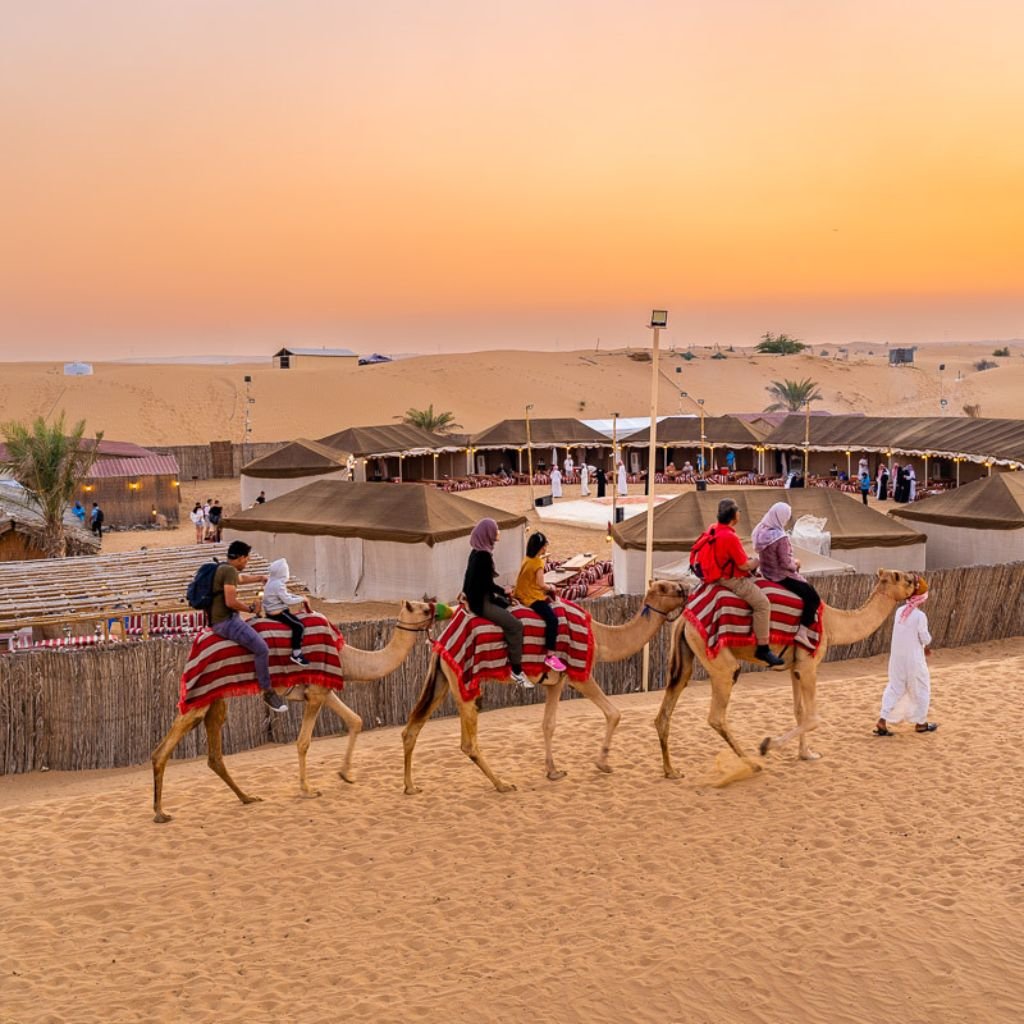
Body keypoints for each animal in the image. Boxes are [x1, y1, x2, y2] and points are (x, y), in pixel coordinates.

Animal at [152, 598, 436, 823]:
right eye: (423, 609)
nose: (436, 607)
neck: (347, 656)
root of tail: (195, 647)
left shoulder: (323, 689)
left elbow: (356, 720)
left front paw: (345, 774)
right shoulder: (317, 694)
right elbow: (303, 742)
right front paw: (308, 789)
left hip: (216, 698)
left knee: (214, 753)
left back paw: (247, 797)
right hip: (200, 695)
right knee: (164, 749)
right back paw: (160, 813)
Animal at [401, 581, 688, 794]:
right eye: (667, 587)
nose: (685, 588)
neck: (600, 637)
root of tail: (442, 640)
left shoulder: (555, 681)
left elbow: (547, 724)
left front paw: (553, 771)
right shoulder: (577, 673)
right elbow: (613, 713)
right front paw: (602, 763)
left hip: (442, 679)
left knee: (411, 729)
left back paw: (411, 787)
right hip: (464, 680)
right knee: (468, 743)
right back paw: (503, 784)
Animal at [655, 569, 921, 774]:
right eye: (905, 579)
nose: (918, 581)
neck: (832, 623)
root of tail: (685, 618)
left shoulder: (795, 668)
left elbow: (799, 712)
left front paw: (807, 754)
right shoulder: (809, 665)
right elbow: (813, 718)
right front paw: (767, 745)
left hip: (686, 655)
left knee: (666, 709)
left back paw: (671, 771)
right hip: (718, 658)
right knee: (717, 714)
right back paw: (753, 764)